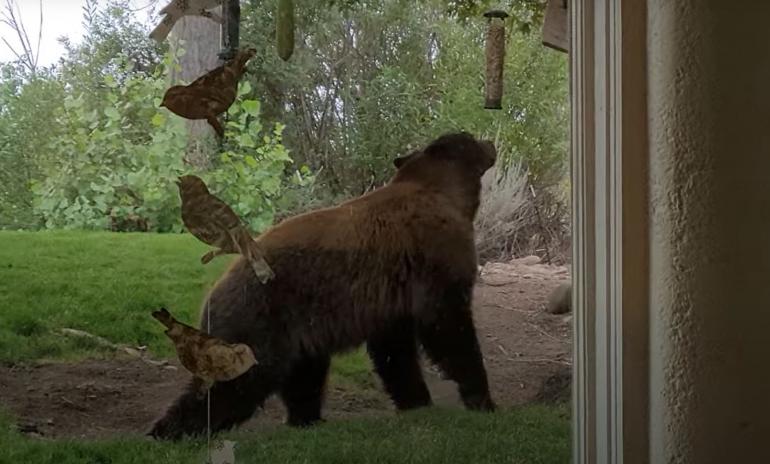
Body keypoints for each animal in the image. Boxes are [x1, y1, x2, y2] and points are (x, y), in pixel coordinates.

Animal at [149, 132, 497, 440]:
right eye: (471, 137)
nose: (491, 143)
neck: (445, 193)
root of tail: (210, 296)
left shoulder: (389, 298)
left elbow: (395, 353)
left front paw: (416, 403)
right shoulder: (435, 260)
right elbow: (449, 330)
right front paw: (482, 401)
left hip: (300, 332)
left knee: (303, 379)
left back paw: (307, 420)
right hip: (258, 322)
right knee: (234, 384)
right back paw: (168, 433)